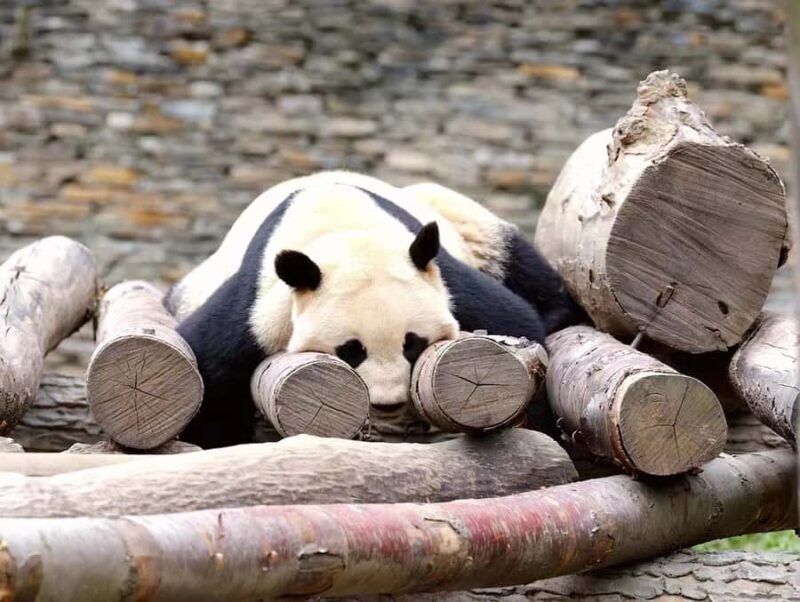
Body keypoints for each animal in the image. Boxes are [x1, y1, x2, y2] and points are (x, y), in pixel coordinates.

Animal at [167, 171, 582, 448]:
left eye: (412, 343)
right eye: (351, 351)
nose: (388, 404)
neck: (347, 233)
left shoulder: (443, 279)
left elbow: (513, 322)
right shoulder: (259, 305)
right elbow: (210, 369)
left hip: (457, 217)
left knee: (508, 251)